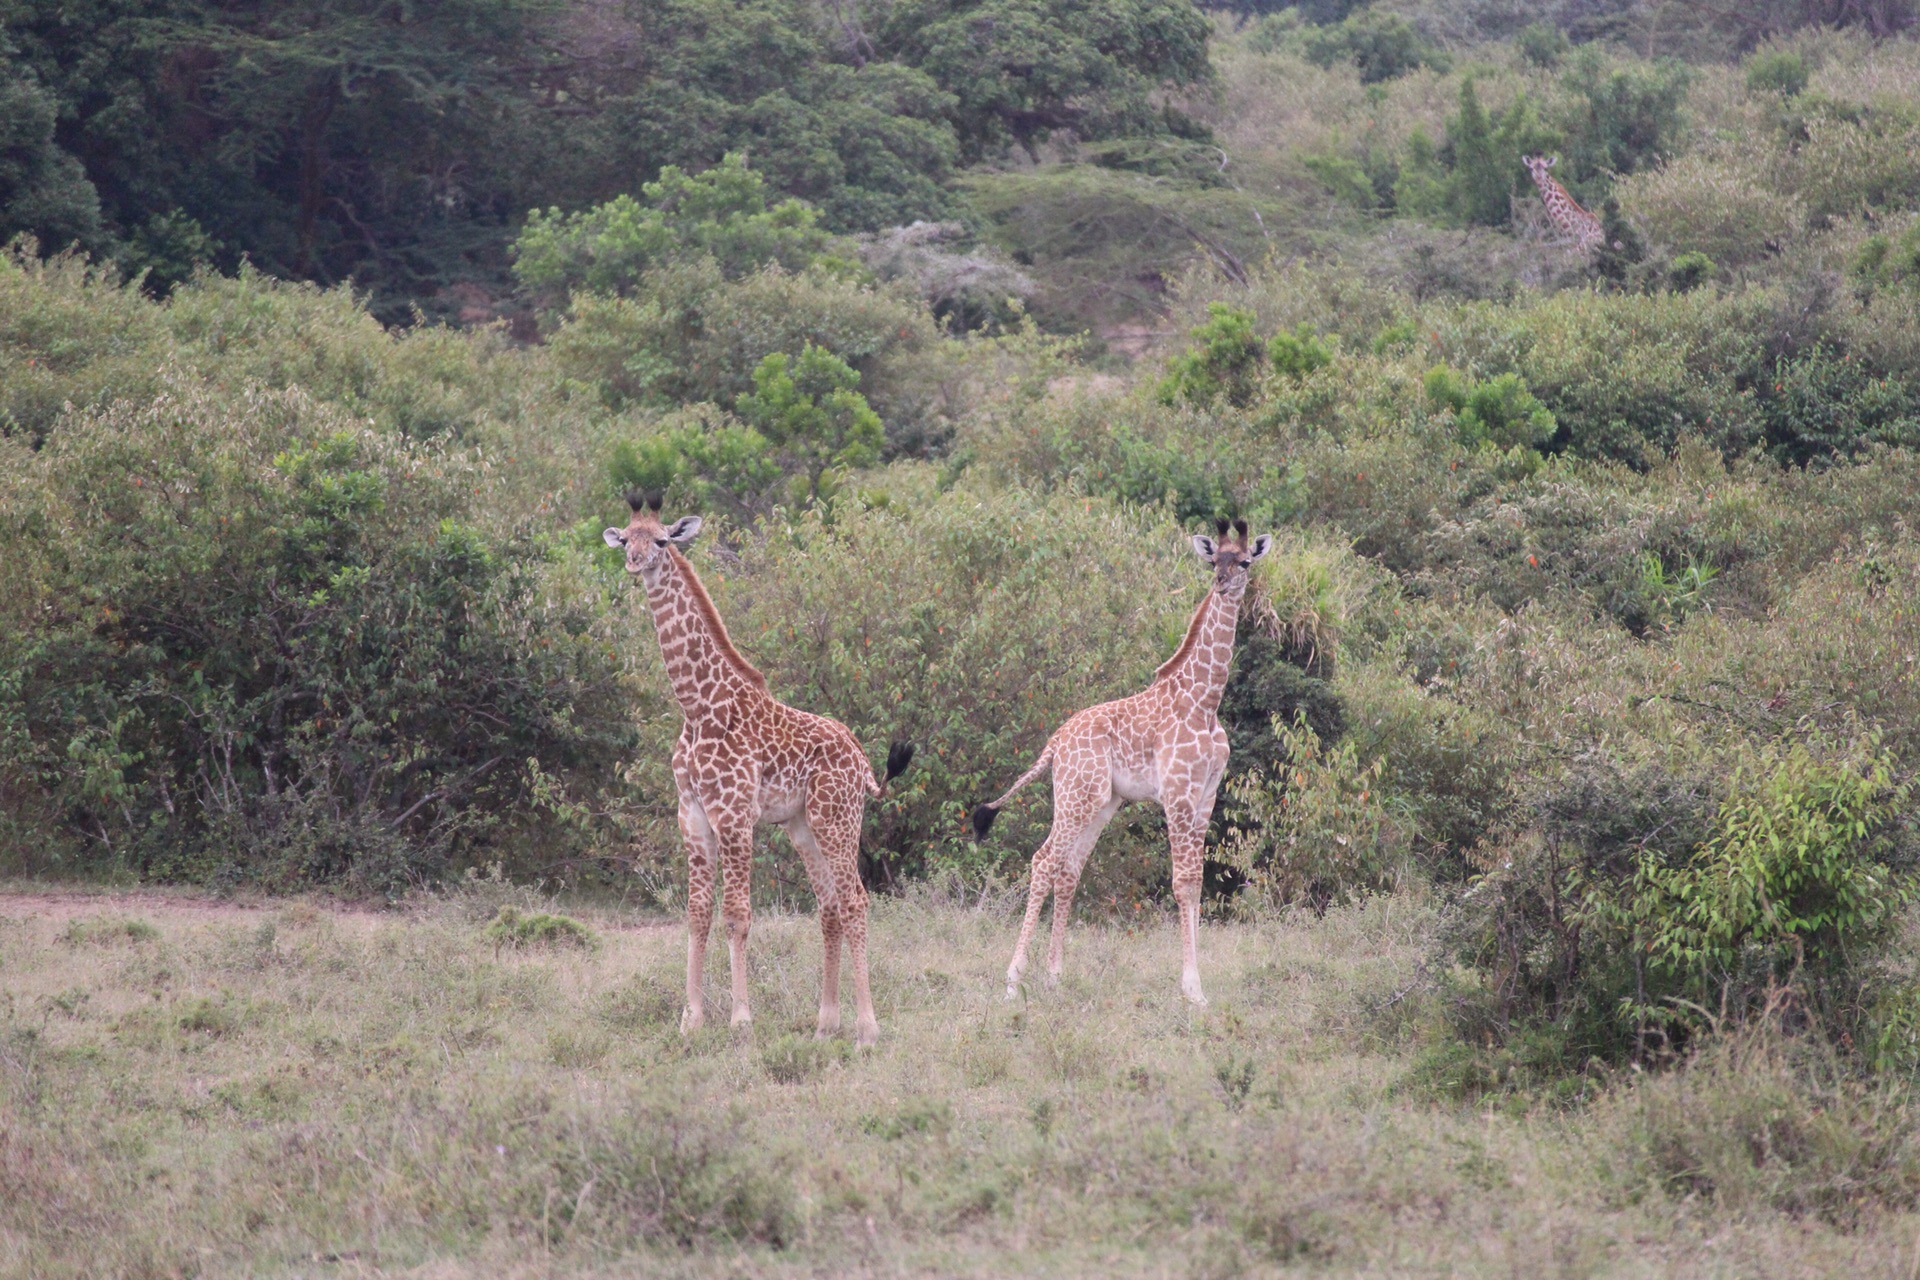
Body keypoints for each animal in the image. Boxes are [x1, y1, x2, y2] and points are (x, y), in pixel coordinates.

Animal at [610, 495, 917, 1043]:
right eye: (625, 537)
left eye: (662, 540)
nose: (635, 562)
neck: (698, 707)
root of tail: (861, 760)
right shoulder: (692, 814)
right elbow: (697, 914)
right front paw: (690, 1021)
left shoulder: (733, 815)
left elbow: (736, 915)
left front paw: (740, 1021)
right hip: (803, 826)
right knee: (830, 905)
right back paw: (825, 1023)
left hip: (837, 818)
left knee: (856, 900)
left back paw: (866, 1027)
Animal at [975, 514, 1274, 1005]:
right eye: (1215, 560)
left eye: (1245, 561)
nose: (1223, 583)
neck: (1205, 701)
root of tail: (1055, 742)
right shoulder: (1178, 794)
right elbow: (1183, 881)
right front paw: (1192, 989)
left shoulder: (1206, 796)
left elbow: (1196, 882)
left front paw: (1197, 984)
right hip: (1076, 796)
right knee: (1043, 861)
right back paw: (1013, 982)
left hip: (1101, 803)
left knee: (1068, 871)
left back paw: (1054, 978)